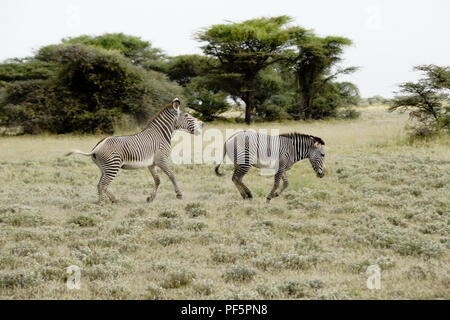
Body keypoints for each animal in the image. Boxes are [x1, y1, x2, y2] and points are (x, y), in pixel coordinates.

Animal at [66, 97, 204, 202]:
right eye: (187, 115)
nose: (203, 124)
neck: (160, 135)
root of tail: (97, 147)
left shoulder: (152, 164)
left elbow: (157, 180)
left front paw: (150, 198)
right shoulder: (161, 160)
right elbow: (172, 175)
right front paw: (179, 194)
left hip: (104, 168)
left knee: (100, 184)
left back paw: (110, 200)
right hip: (112, 166)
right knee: (102, 185)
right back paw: (104, 203)